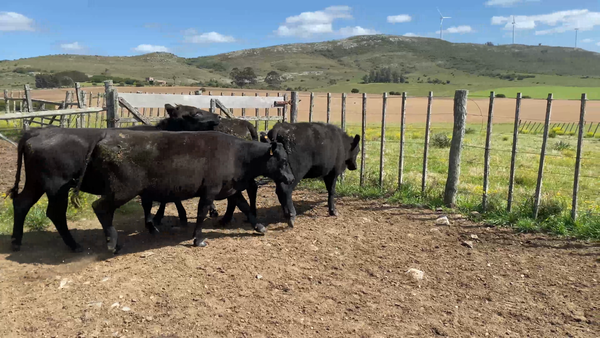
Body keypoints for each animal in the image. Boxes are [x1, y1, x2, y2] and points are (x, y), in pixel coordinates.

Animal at [88, 129, 294, 251]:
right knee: (100, 207)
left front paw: (259, 226)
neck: (238, 155)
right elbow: (202, 213)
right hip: (122, 190)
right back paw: (112, 242)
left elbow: (244, 207)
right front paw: (198, 239)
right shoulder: (209, 191)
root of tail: (104, 140)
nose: (291, 178)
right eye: (283, 161)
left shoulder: (231, 189)